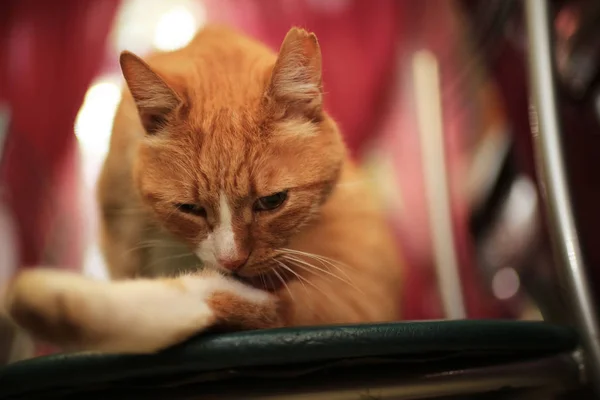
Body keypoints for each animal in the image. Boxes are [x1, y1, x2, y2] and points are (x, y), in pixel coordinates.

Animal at [4, 25, 404, 354]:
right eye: (190, 208)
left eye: (272, 201)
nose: (232, 261)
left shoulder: (347, 296)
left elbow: (211, 297)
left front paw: (55, 302)